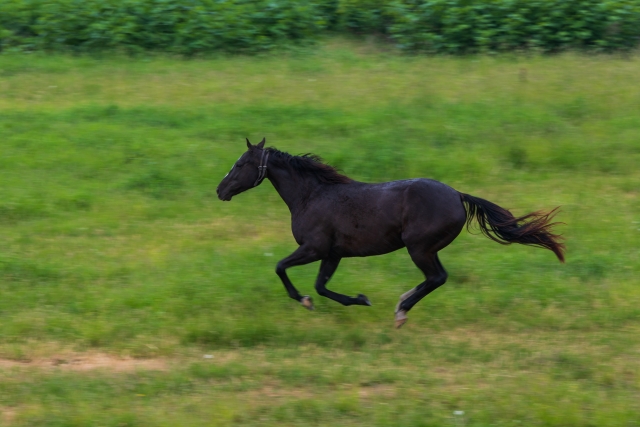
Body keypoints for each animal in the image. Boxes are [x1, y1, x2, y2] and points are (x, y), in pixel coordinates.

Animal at [218, 139, 564, 330]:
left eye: (241, 163)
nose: (220, 190)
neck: (312, 196)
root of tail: (457, 195)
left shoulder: (314, 248)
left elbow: (281, 268)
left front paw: (308, 301)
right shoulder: (332, 253)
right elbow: (321, 286)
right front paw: (358, 299)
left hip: (418, 248)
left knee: (437, 278)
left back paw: (401, 311)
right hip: (428, 249)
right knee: (435, 278)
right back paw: (401, 304)